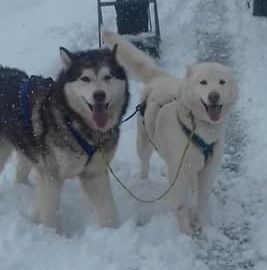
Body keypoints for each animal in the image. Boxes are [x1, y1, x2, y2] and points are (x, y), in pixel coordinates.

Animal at [104, 30, 239, 234]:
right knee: (144, 164)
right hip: (144, 143)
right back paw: (144, 182)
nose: (214, 96)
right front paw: (185, 230)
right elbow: (180, 203)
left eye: (222, 82)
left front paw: (200, 223)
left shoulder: (207, 170)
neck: (198, 129)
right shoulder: (179, 170)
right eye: (203, 82)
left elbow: (202, 200)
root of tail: (160, 77)